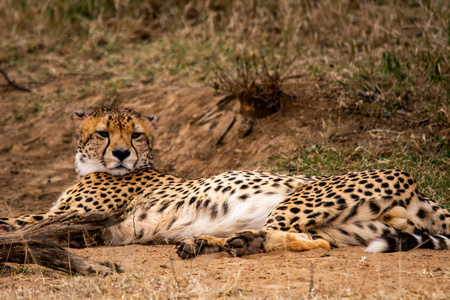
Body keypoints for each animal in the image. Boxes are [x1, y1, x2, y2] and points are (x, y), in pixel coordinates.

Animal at [0, 108, 450, 260]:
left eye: (137, 135)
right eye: (103, 133)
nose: (123, 154)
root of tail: (418, 188)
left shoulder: (80, 216)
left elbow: (12, 220)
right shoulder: (87, 229)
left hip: (298, 198)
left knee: (294, 234)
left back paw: (220, 242)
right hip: (354, 228)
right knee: (317, 240)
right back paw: (221, 243)